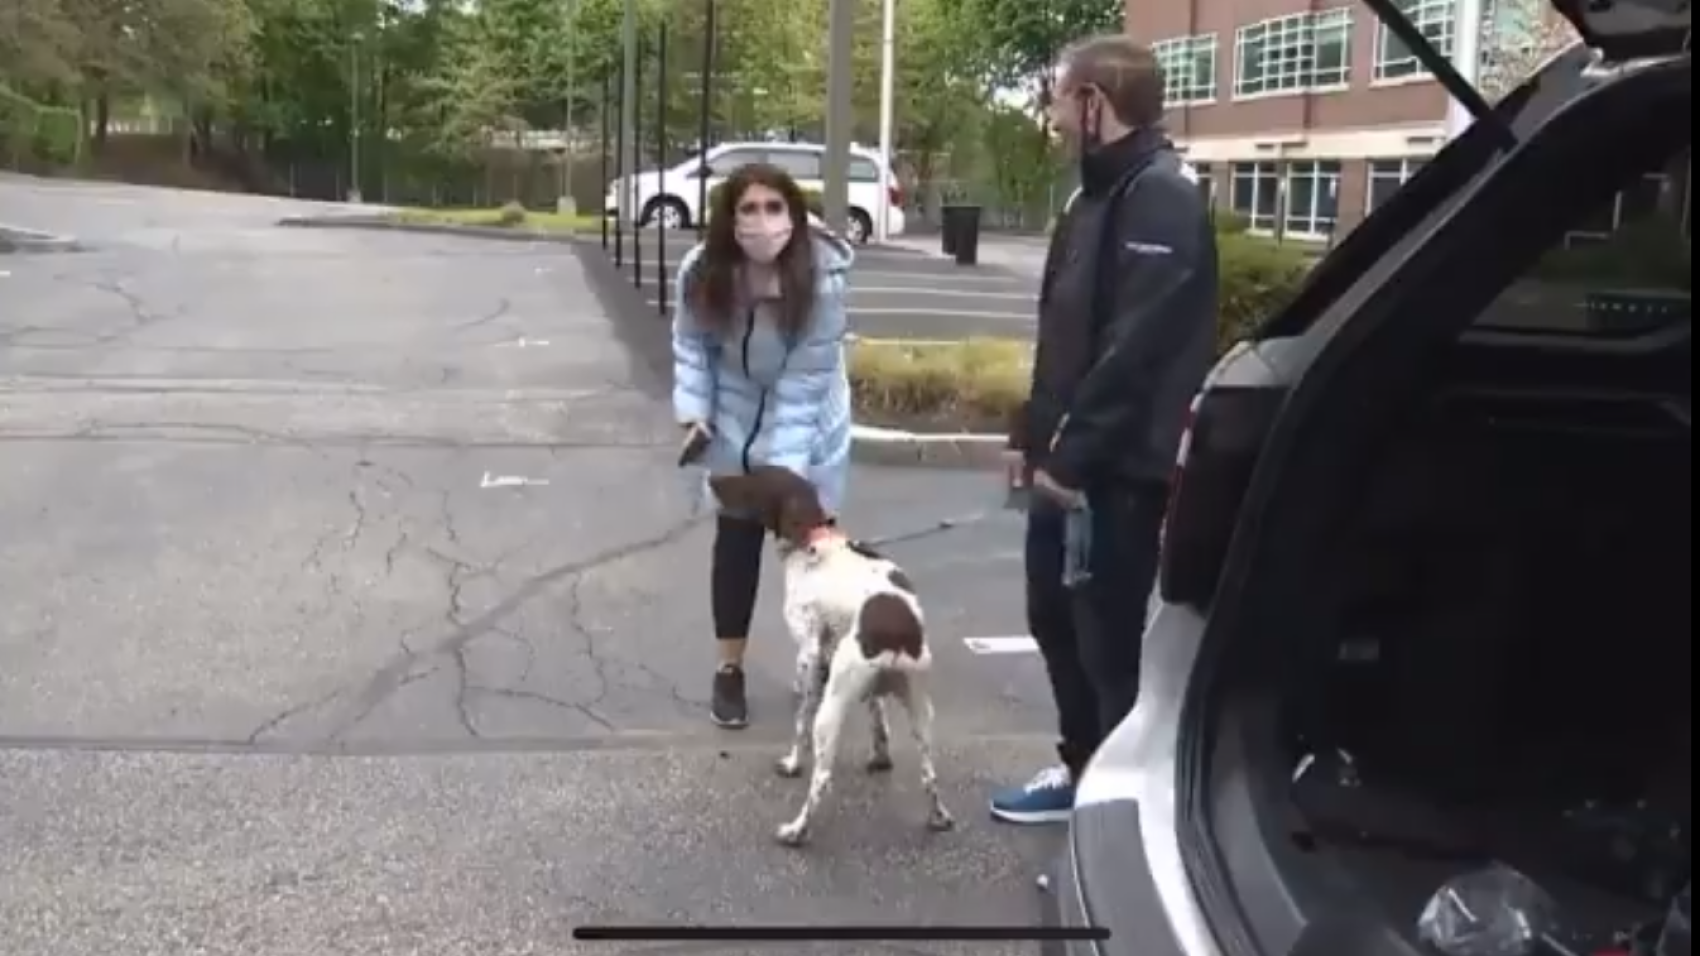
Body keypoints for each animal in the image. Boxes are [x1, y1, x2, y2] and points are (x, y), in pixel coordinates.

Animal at [707, 466, 958, 843]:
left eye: (751, 476)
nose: (712, 478)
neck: (815, 538)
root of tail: (898, 632)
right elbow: (878, 719)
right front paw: (880, 757)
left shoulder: (810, 656)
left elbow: (800, 723)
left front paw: (792, 763)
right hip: (920, 709)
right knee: (930, 774)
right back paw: (939, 816)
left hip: (833, 706)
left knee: (822, 778)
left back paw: (796, 830)